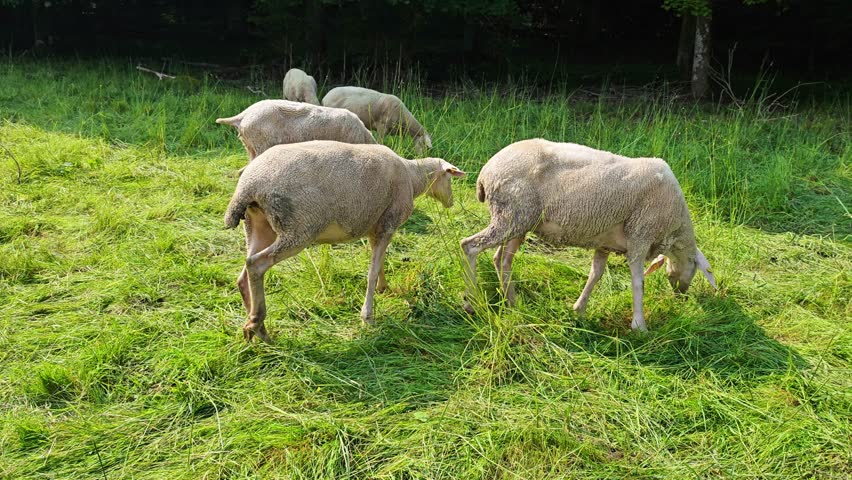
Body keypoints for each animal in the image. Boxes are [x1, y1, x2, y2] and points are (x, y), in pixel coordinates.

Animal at [224, 140, 465, 342]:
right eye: (450, 178)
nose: (452, 202)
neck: (413, 177)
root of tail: (249, 185)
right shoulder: (388, 222)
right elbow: (372, 271)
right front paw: (368, 317)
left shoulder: (375, 228)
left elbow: (379, 263)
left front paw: (383, 287)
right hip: (298, 229)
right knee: (256, 265)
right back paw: (257, 323)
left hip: (259, 224)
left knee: (244, 274)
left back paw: (258, 329)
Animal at [460, 139, 717, 331]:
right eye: (697, 267)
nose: (682, 294)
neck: (673, 231)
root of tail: (486, 171)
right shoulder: (640, 236)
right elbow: (638, 282)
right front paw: (639, 326)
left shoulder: (604, 244)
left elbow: (596, 274)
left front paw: (579, 310)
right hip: (511, 215)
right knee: (470, 246)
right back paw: (472, 302)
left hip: (519, 221)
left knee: (501, 259)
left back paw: (512, 302)